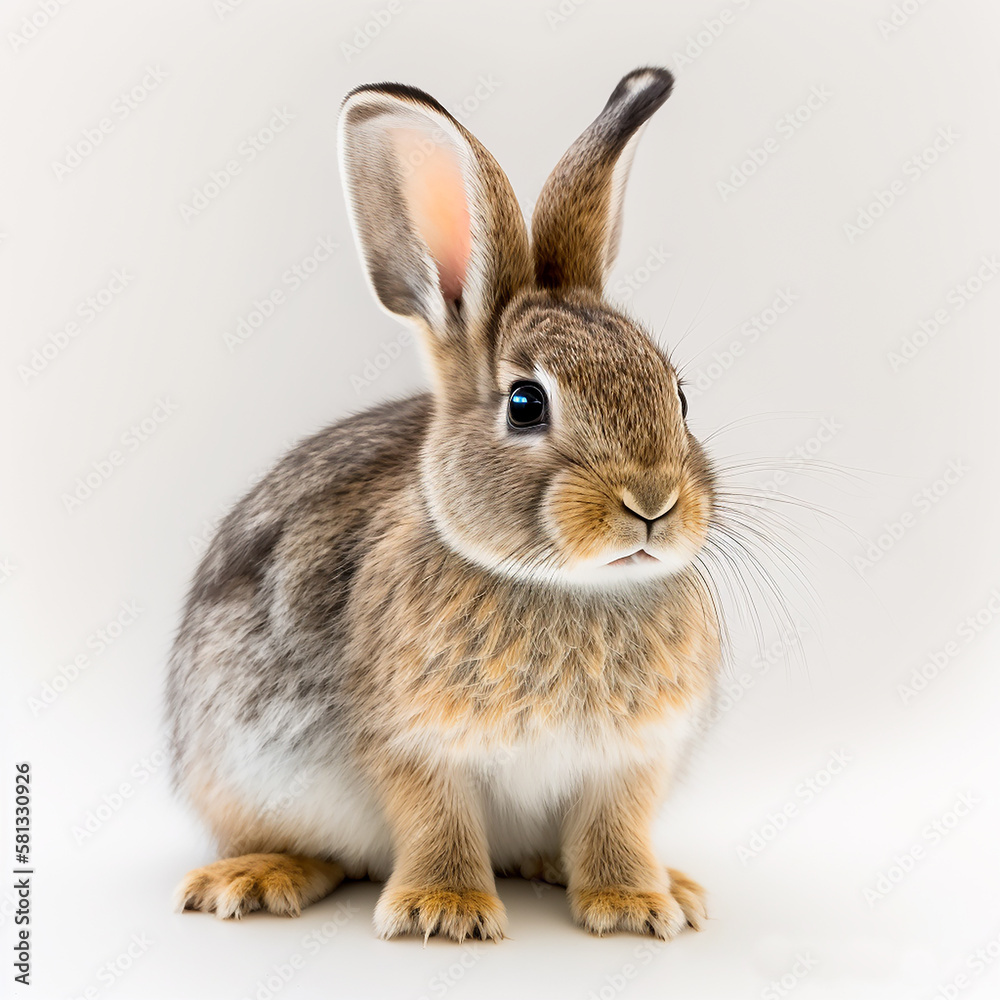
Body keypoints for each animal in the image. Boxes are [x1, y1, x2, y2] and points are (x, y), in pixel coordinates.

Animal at [168, 66, 724, 940]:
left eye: (680, 398)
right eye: (526, 404)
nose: (652, 501)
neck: (566, 586)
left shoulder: (631, 761)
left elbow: (616, 831)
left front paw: (638, 904)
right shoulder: (412, 746)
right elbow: (438, 823)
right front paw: (445, 912)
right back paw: (252, 878)